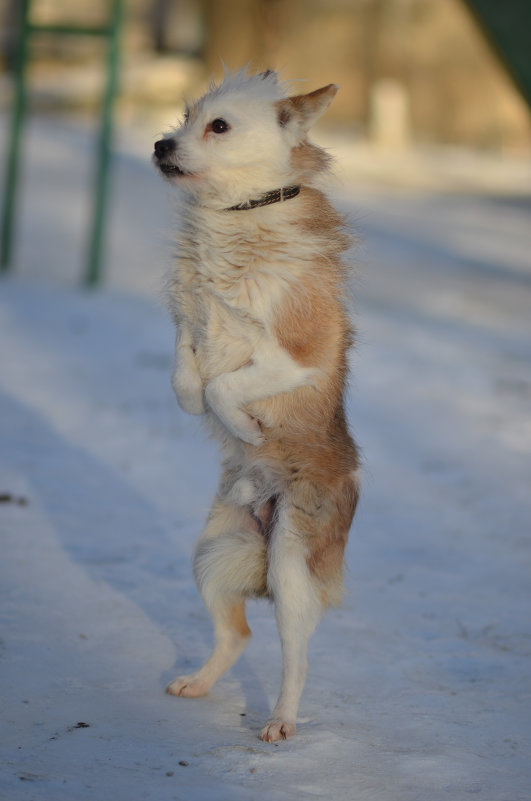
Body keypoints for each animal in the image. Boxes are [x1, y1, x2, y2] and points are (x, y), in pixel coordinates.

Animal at [153, 69, 362, 744]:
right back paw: (198, 683)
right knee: (238, 635)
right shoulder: (187, 317)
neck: (237, 217)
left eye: (219, 126)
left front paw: (243, 424)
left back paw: (280, 721)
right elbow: (185, 373)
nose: (161, 145)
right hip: (213, 555)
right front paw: (194, 401)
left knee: (296, 657)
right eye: (185, 118)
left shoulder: (296, 357)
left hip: (292, 564)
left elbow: (226, 387)